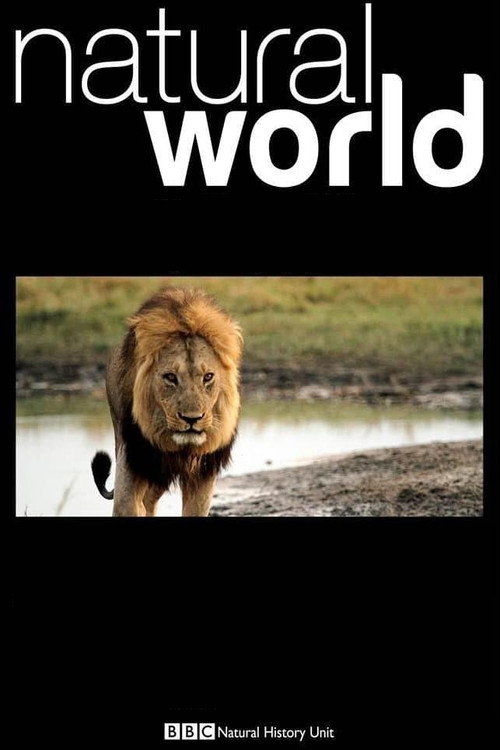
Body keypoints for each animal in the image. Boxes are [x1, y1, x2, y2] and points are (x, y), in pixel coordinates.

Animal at [91, 287, 243, 516]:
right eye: (170, 377)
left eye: (208, 377)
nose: (192, 419)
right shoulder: (133, 457)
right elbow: (127, 504)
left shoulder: (203, 472)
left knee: (149, 500)